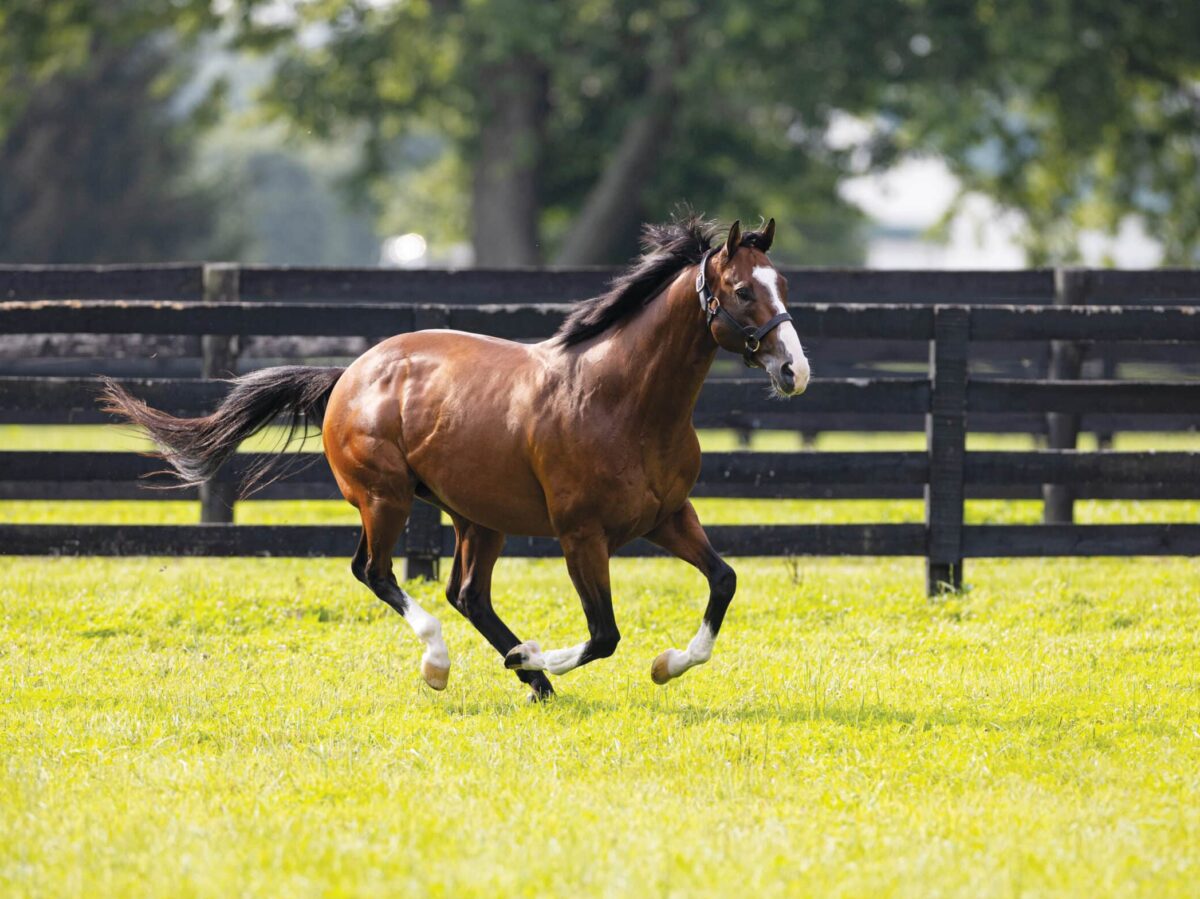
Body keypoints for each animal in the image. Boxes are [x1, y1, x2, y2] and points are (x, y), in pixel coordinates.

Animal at [103, 217, 811, 700]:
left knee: (466, 592)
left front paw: (665, 665)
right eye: (741, 290)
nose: (794, 371)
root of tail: (349, 374)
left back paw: (533, 683)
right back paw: (448, 665)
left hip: (477, 516)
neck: (622, 401)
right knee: (375, 572)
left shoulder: (667, 517)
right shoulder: (581, 535)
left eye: (783, 284)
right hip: (384, 499)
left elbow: (724, 581)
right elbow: (604, 634)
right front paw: (532, 656)